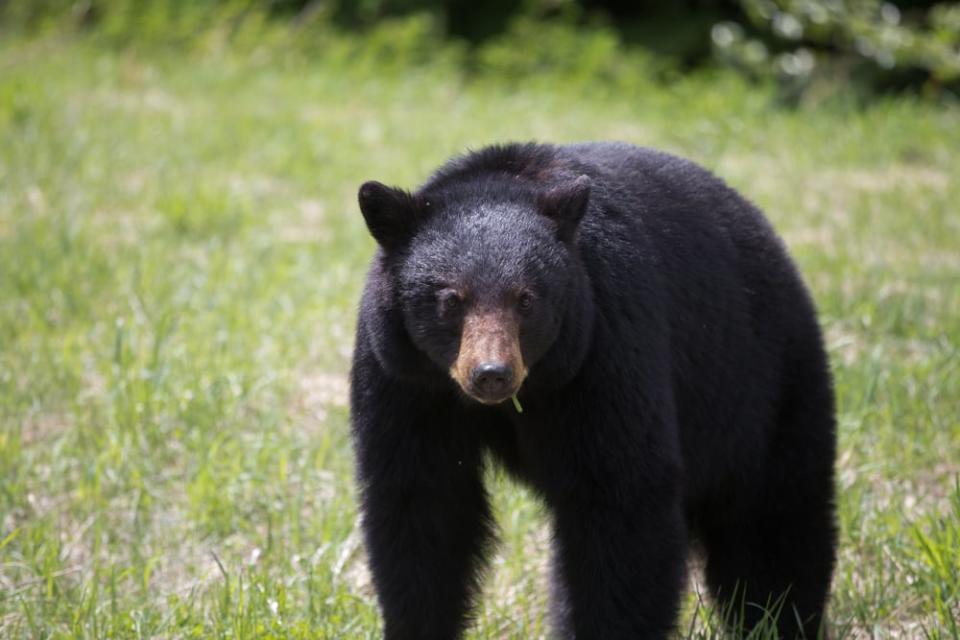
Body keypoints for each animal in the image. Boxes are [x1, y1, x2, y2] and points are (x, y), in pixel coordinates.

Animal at [348, 142, 836, 636]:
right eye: (451, 300)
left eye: (526, 299)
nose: (491, 373)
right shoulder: (404, 379)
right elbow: (422, 502)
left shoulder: (604, 345)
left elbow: (620, 497)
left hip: (763, 385)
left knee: (774, 517)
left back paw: (779, 618)